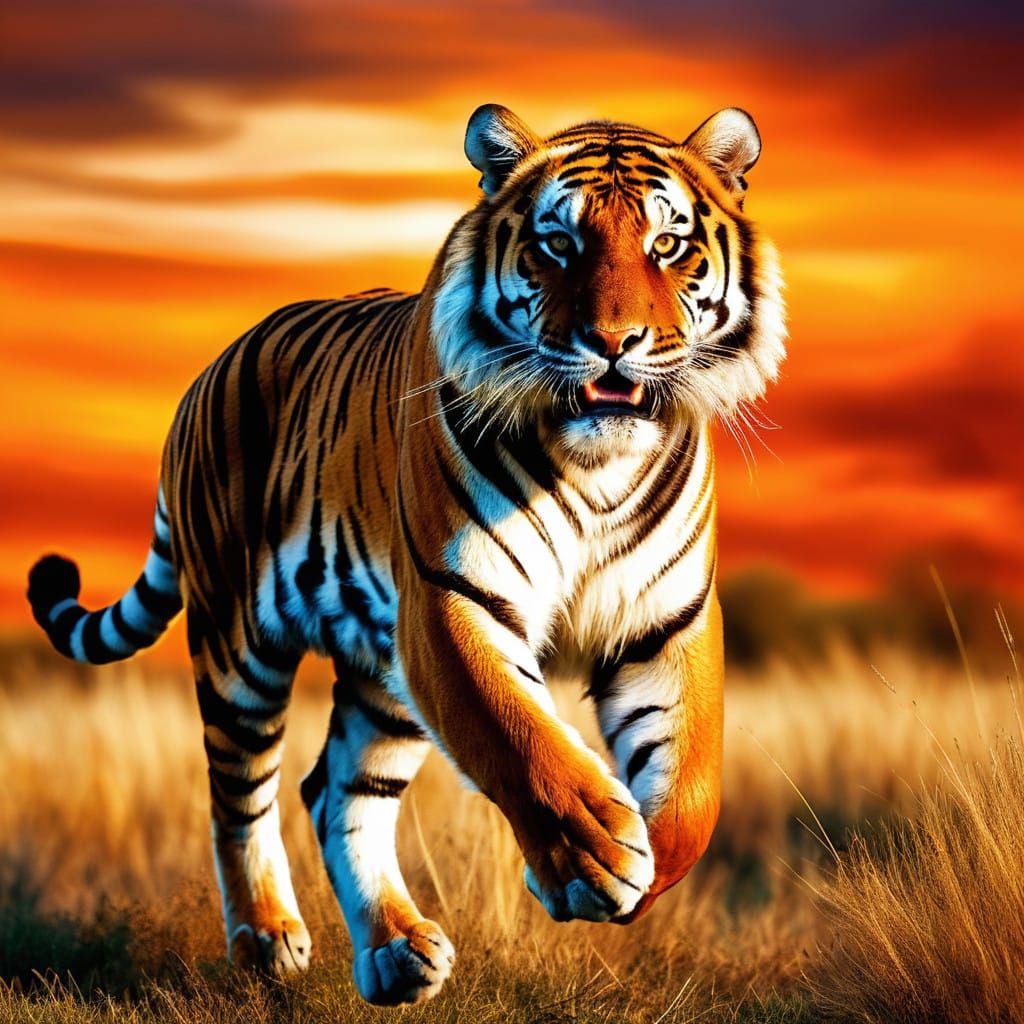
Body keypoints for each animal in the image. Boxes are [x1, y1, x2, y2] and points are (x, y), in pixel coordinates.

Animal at [27, 104, 785, 1006]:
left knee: (335, 790)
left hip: (384, 675)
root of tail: (209, 369)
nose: (614, 341)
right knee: (237, 793)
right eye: (557, 244)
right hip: (239, 643)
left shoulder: (666, 621)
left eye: (668, 245)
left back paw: (393, 952)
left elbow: (693, 792)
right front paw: (590, 859)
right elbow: (520, 737)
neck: (596, 463)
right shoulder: (452, 597)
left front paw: (631, 866)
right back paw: (267, 938)